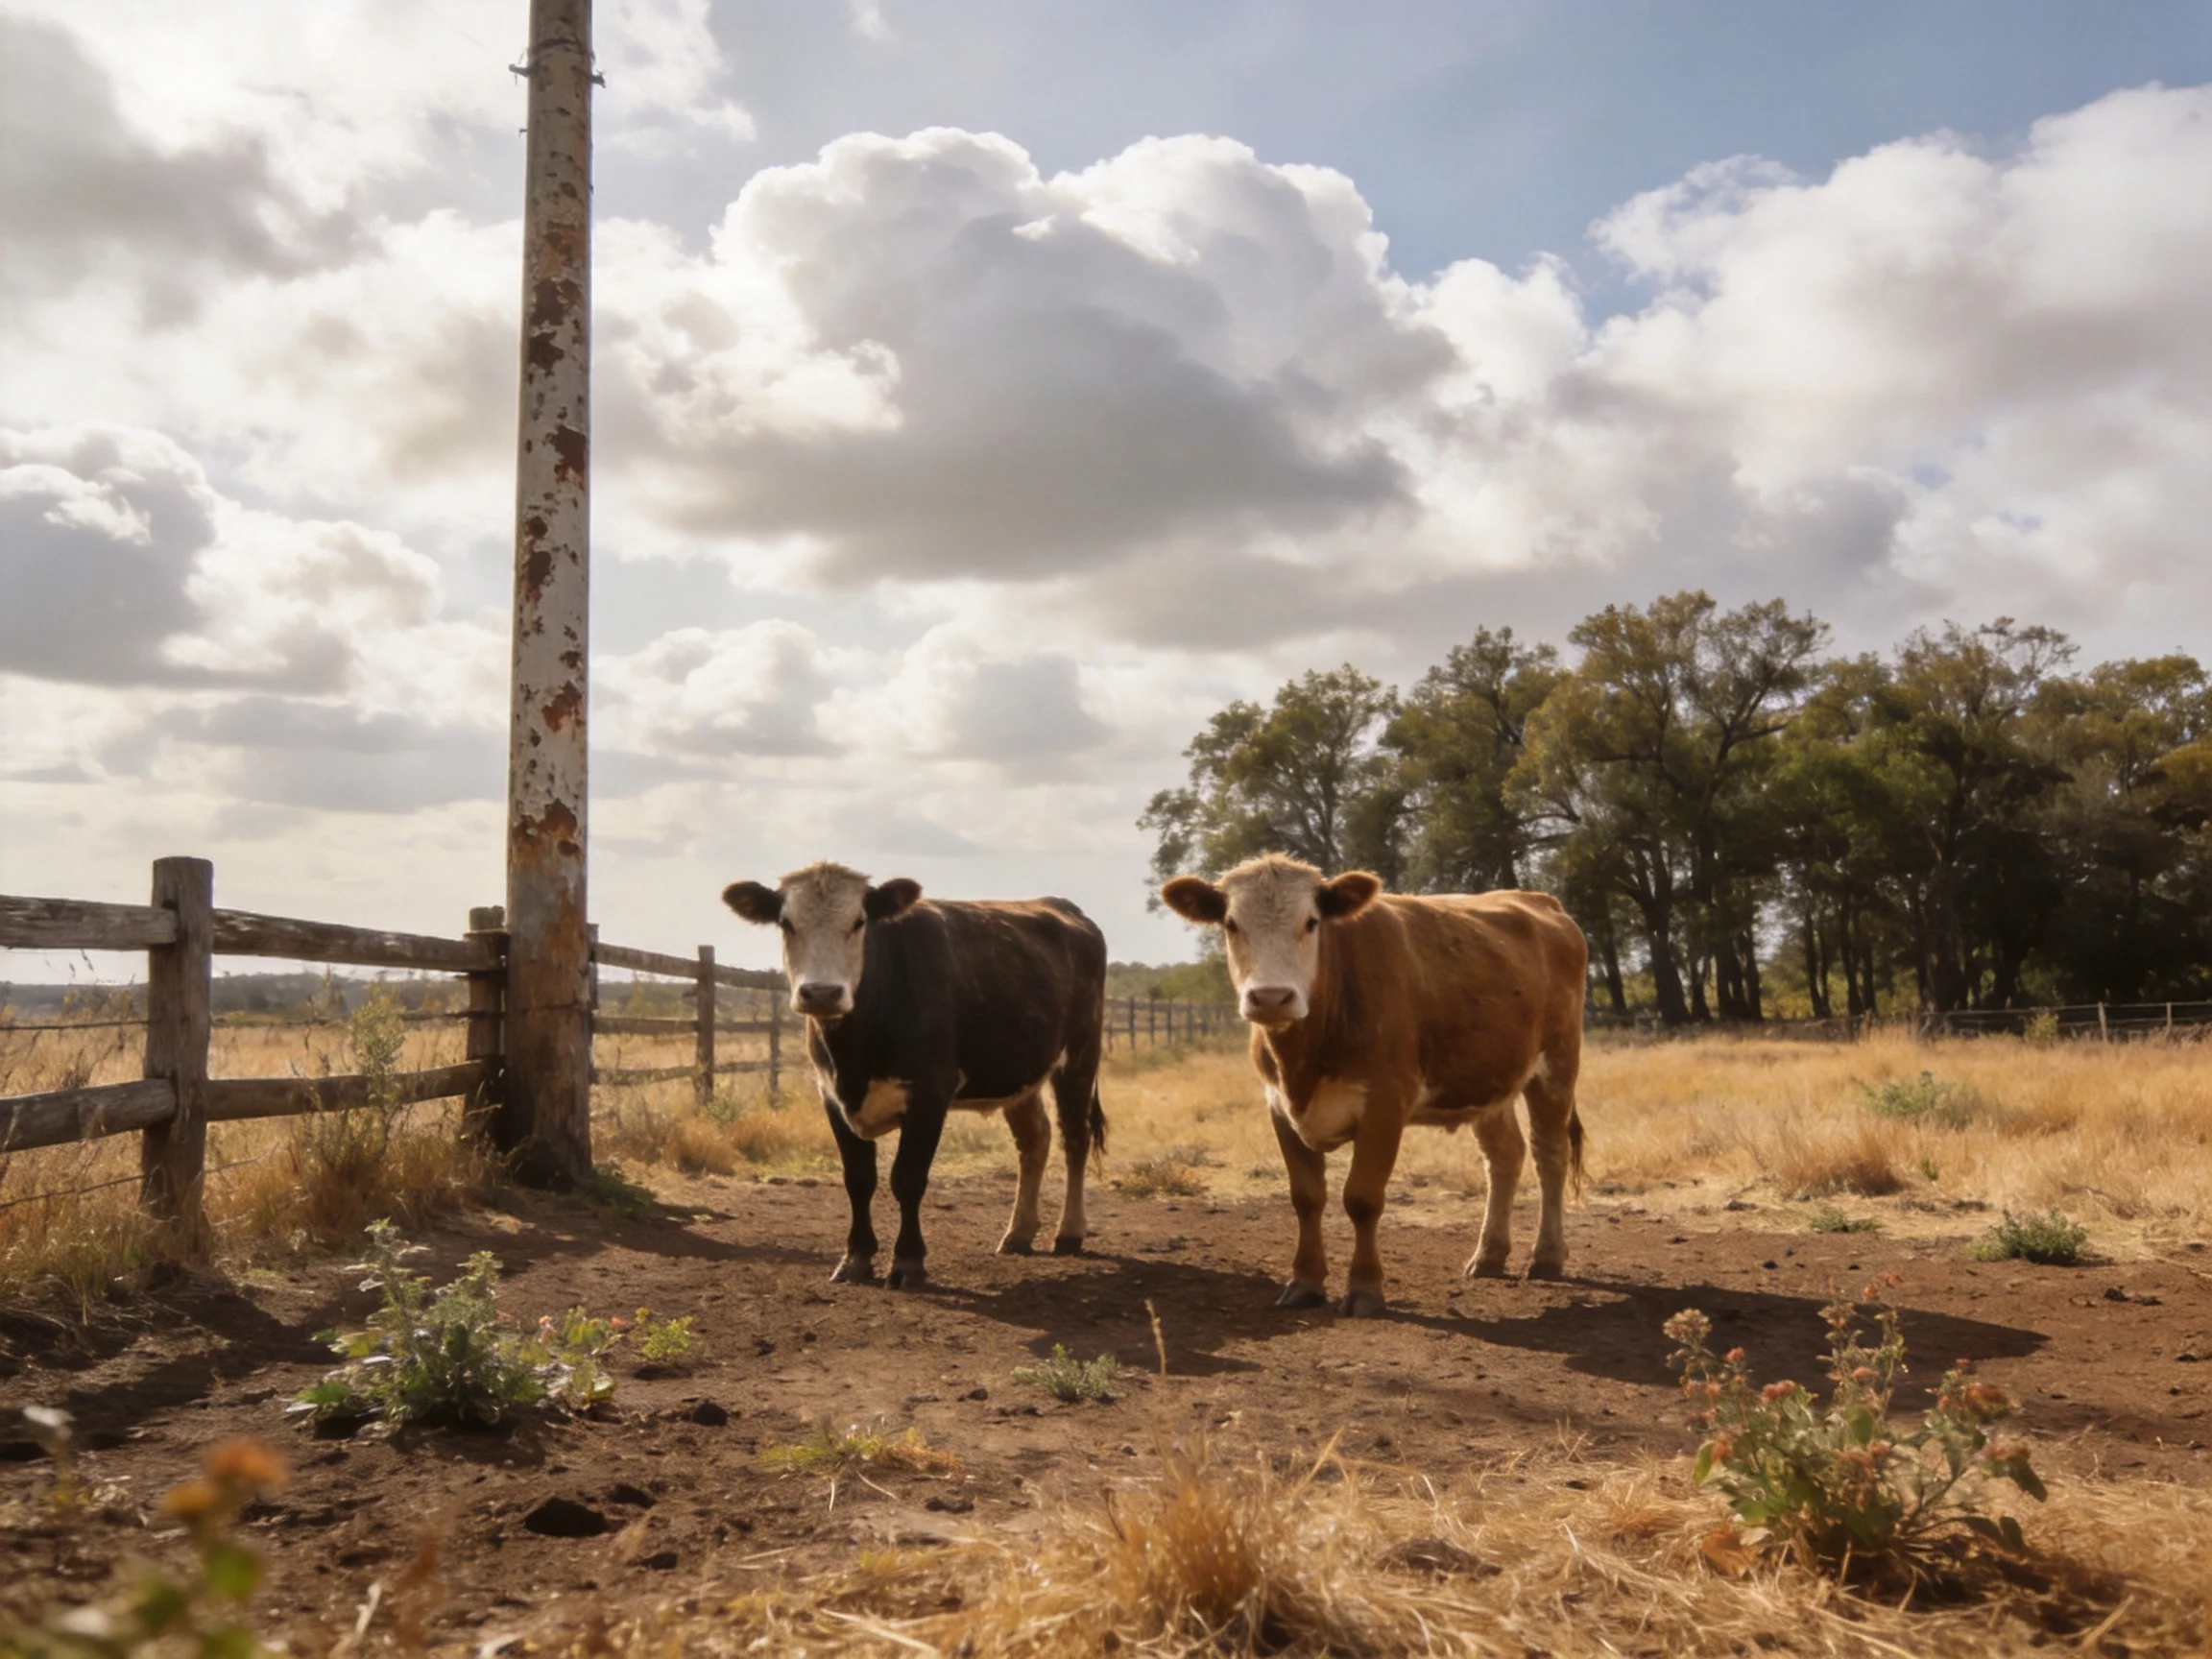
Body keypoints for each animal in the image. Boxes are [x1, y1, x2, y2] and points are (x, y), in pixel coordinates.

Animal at [722, 862, 1107, 1289]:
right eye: (786, 923)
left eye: (859, 921)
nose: (821, 993)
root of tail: (1063, 908)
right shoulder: (832, 1095)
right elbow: (858, 1179)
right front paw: (855, 1257)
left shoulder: (929, 1093)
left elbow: (907, 1178)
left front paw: (907, 1261)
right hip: (1019, 1072)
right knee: (1034, 1140)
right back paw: (1018, 1233)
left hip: (1080, 1057)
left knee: (1075, 1138)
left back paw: (1069, 1232)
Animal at [1160, 854, 1586, 1317]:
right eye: (1231, 923)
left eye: (1311, 921)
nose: (1271, 998)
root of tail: (1540, 901)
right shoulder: (1278, 1107)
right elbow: (1306, 1197)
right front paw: (1305, 1282)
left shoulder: (1385, 1104)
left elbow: (1362, 1199)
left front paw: (1365, 1288)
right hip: (1486, 1079)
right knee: (1505, 1155)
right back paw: (1489, 1255)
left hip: (1556, 1066)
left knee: (1550, 1154)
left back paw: (1547, 1256)